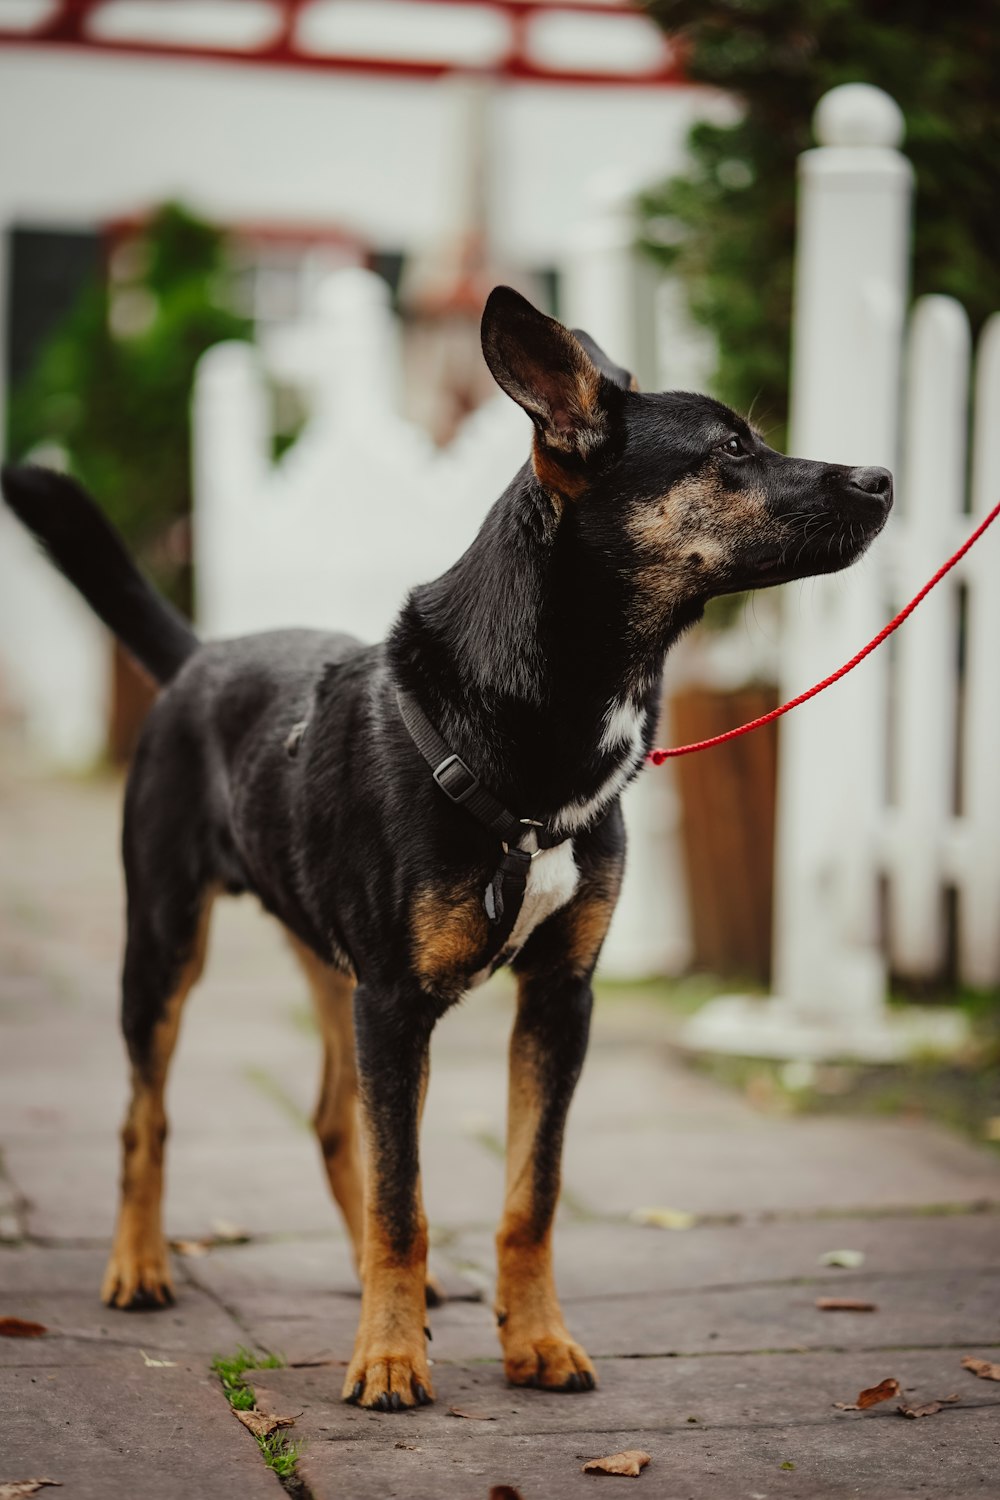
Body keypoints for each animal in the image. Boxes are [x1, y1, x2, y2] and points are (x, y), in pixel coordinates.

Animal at [0, 286, 893, 1410]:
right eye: (731, 448)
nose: (882, 479)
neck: (543, 715)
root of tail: (201, 659)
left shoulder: (554, 1000)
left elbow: (528, 1195)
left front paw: (534, 1339)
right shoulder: (397, 1002)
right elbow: (406, 1199)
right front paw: (387, 1360)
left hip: (328, 965)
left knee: (334, 1121)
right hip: (166, 946)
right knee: (147, 1117)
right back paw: (140, 1264)